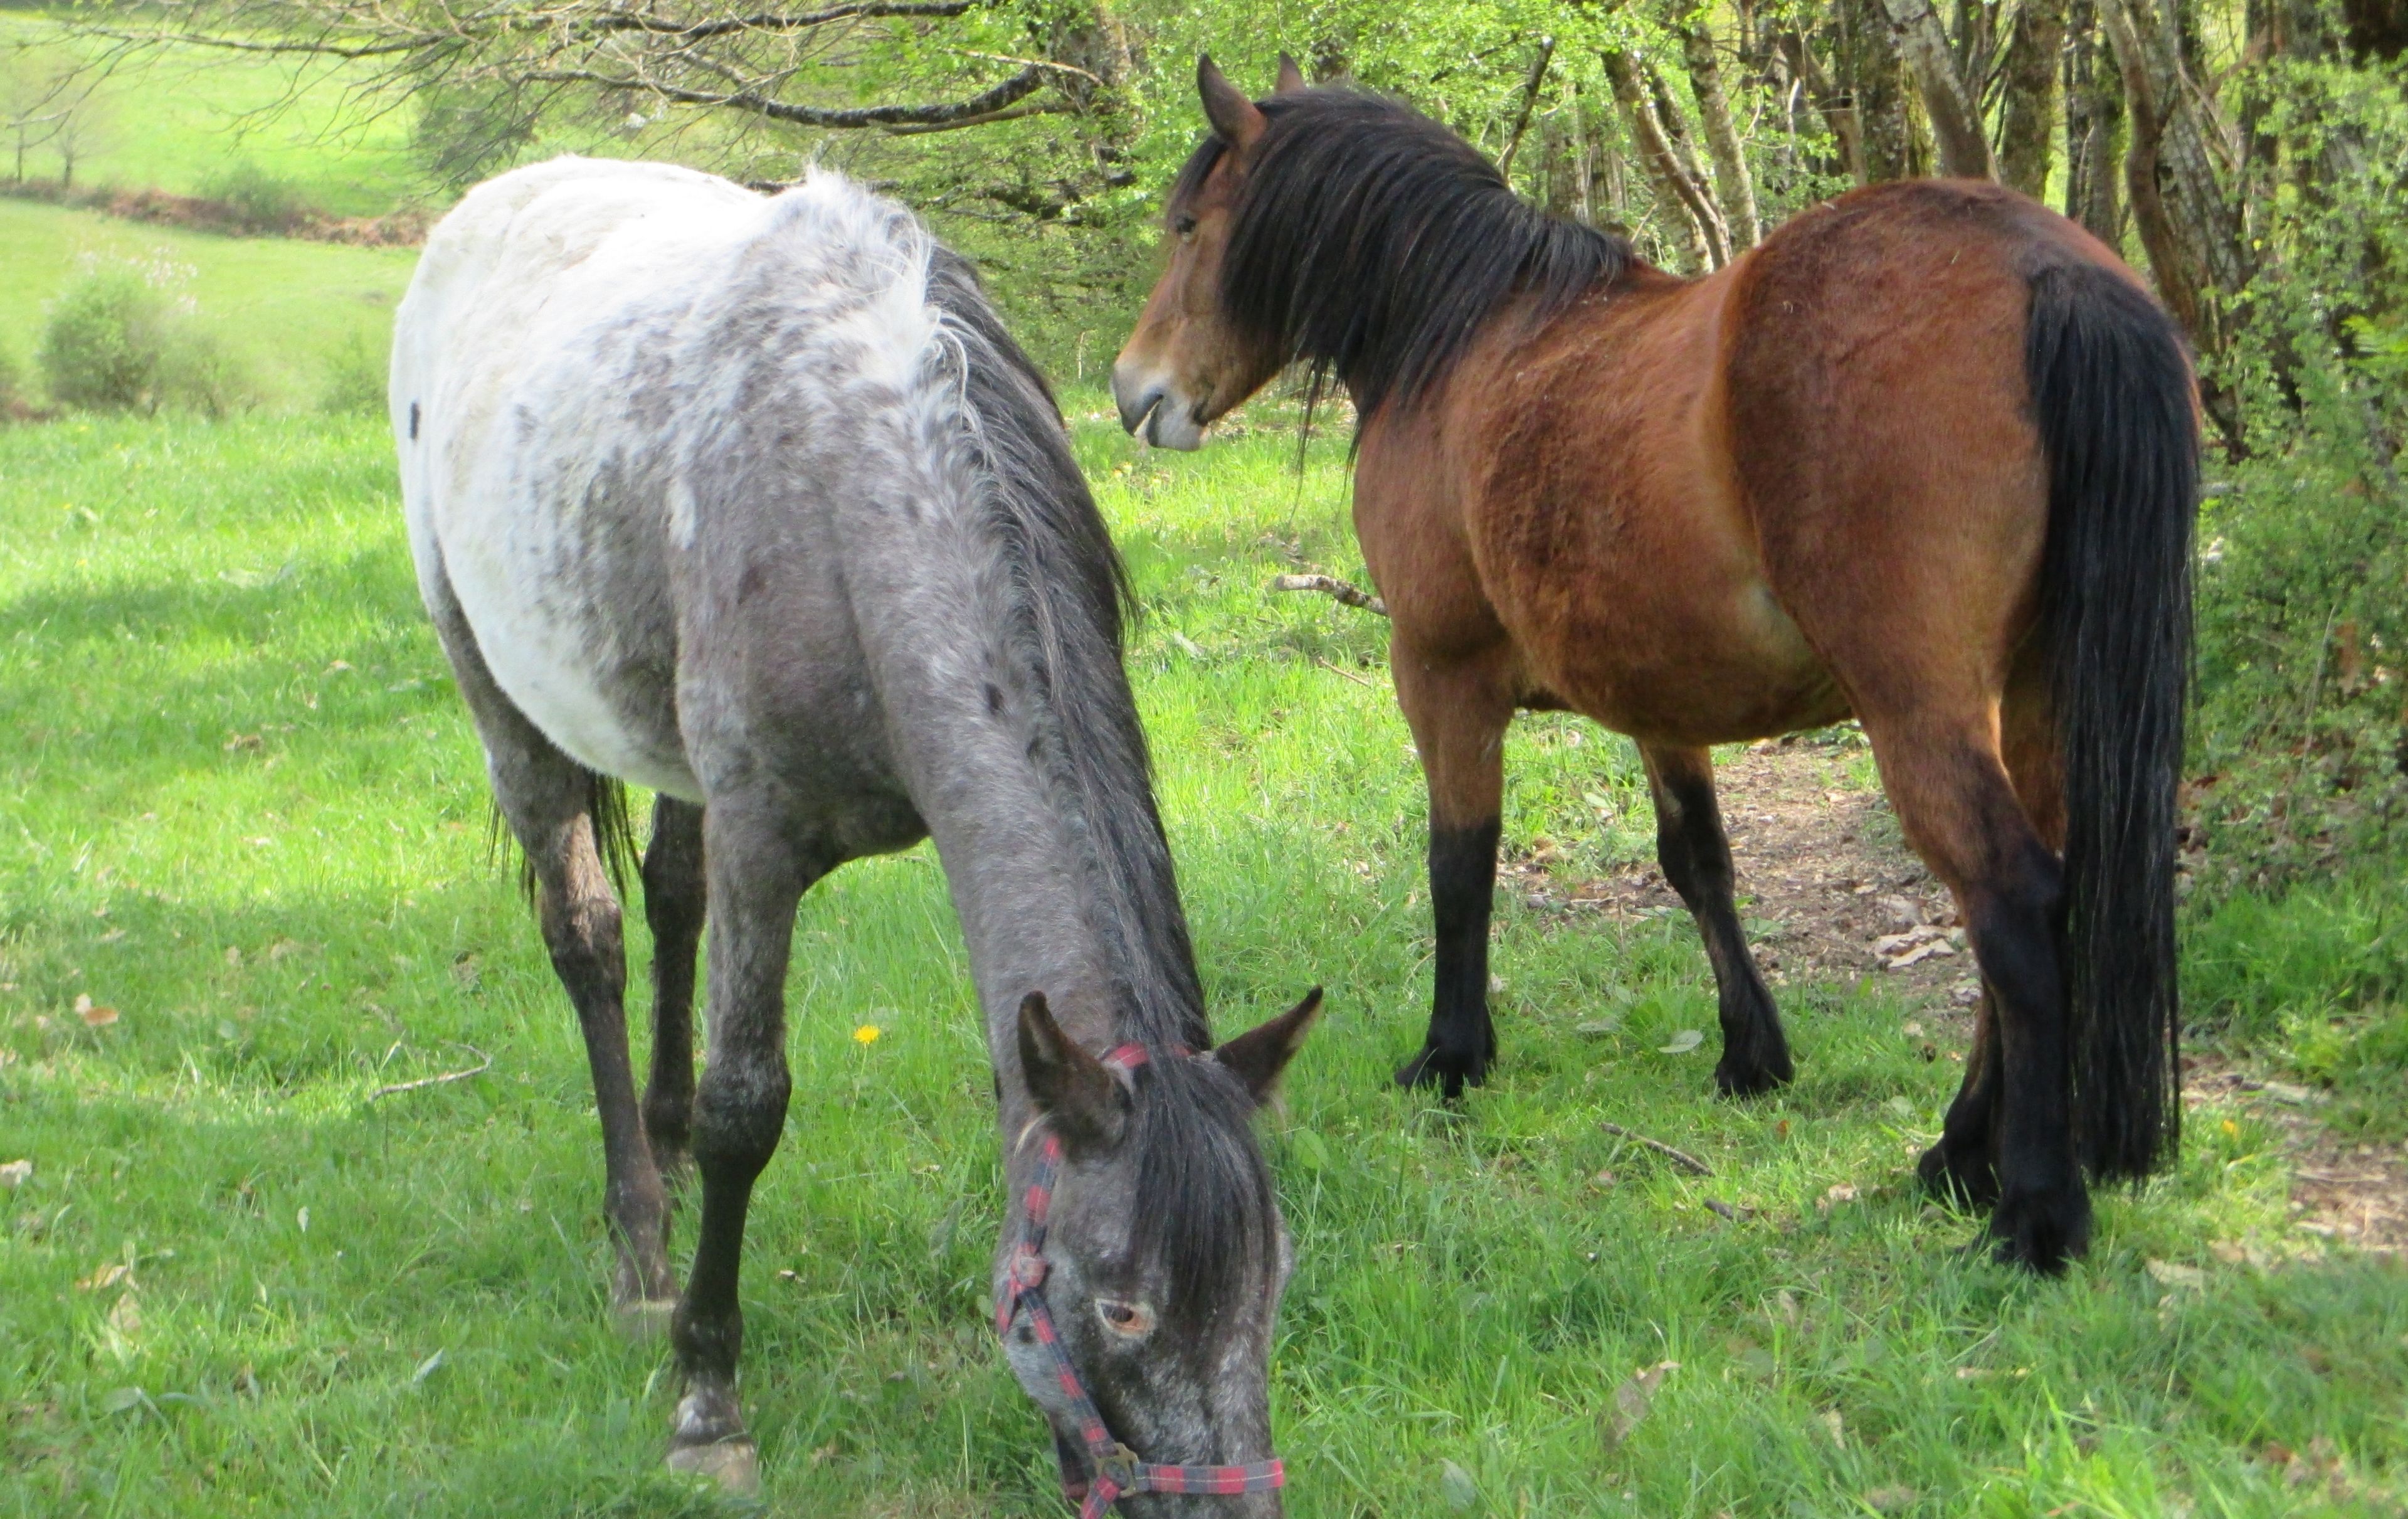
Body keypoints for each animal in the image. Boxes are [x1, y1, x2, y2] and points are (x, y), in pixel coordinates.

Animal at [393, 156, 1319, 1510]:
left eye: (1273, 1281)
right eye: (1123, 1306)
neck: (855, 500)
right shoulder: (765, 837)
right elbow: (747, 1105)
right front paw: (706, 1396)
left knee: (671, 901)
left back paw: (662, 1152)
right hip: (496, 694)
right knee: (590, 939)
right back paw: (641, 1249)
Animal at [1110, 60, 2197, 1274]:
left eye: (1187, 226)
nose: (1133, 389)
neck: (1464, 335)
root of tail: (2050, 270)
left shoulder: (1438, 673)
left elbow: (1459, 863)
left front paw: (1452, 1054)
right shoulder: (1657, 696)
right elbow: (1699, 863)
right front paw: (1751, 1052)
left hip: (1919, 708)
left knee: (2010, 900)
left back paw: (2027, 1211)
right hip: (2038, 696)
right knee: (2044, 894)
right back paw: (1958, 1152)